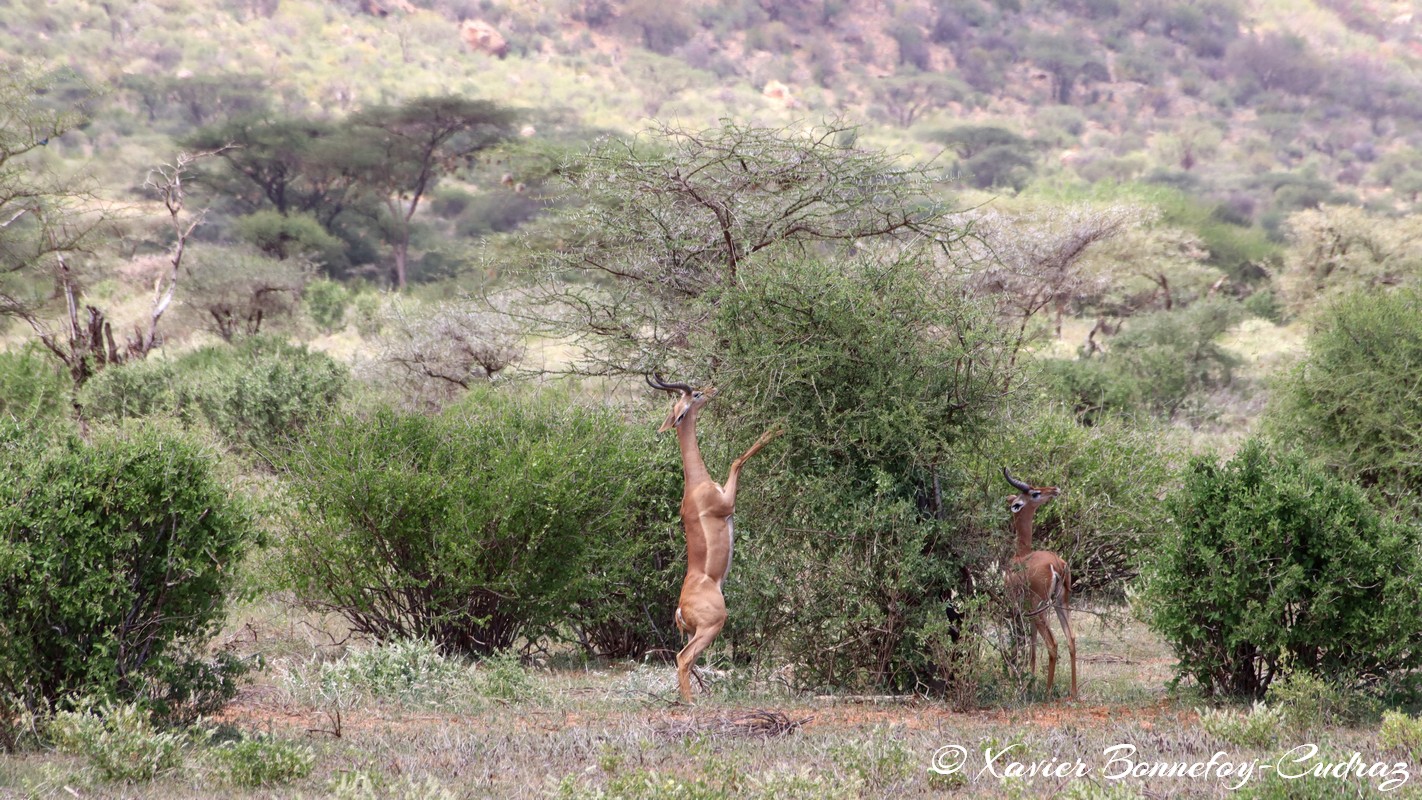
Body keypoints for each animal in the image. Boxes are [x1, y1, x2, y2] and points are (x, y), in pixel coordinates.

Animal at [645, 375, 779, 701]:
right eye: (694, 395)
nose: (713, 388)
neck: (696, 485)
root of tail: (681, 609)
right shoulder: (727, 504)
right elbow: (736, 460)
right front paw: (775, 430)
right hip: (712, 627)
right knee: (683, 658)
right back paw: (691, 703)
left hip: (696, 632)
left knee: (685, 660)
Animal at [1001, 466, 1075, 699]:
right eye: (1034, 493)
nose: (1054, 489)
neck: (1020, 556)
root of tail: (1056, 564)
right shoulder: (1029, 615)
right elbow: (1033, 646)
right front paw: (1030, 681)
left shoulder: (1019, 611)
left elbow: (1021, 644)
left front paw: (1021, 684)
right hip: (1061, 603)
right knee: (1071, 639)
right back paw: (1073, 691)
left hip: (1040, 608)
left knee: (1053, 644)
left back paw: (1048, 692)